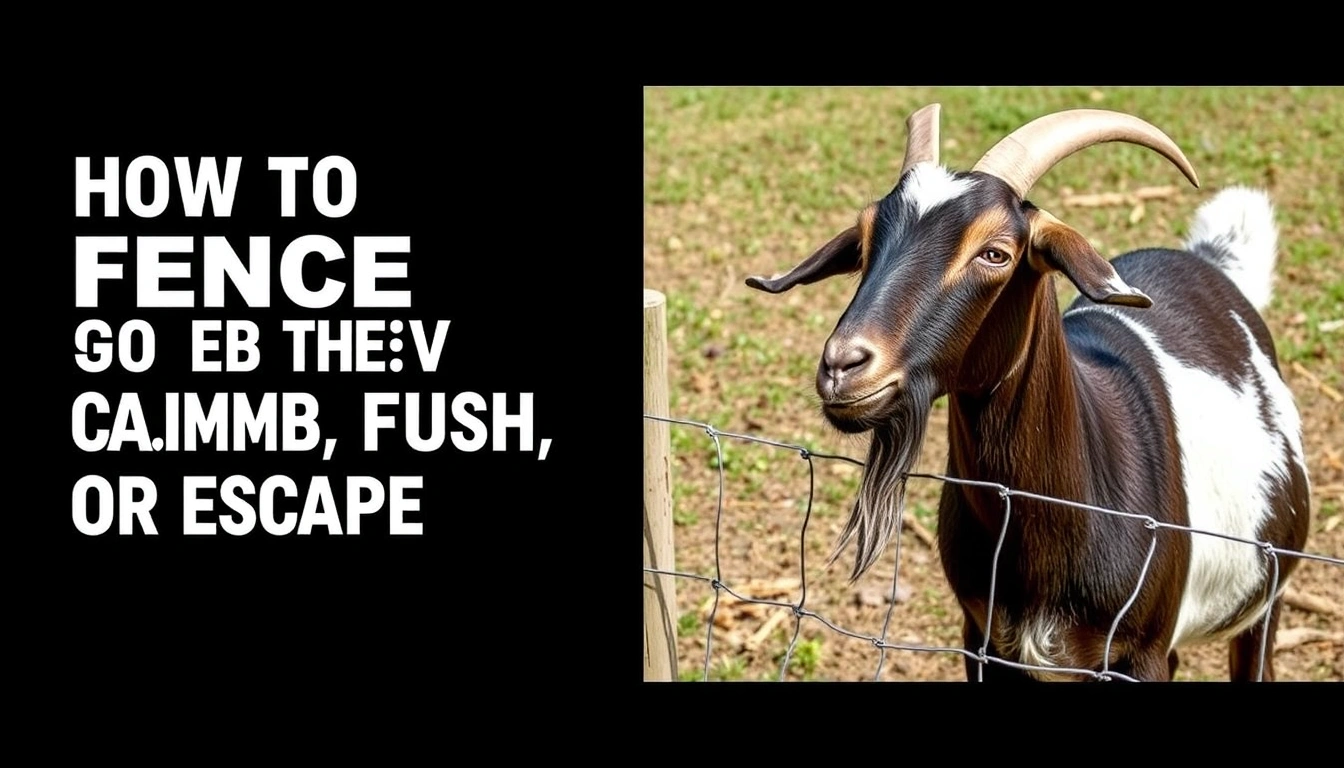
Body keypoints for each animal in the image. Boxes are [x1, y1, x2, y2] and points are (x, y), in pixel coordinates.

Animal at [745, 104, 1311, 681]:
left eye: (996, 253)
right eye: (862, 241)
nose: (843, 366)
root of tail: (1209, 263)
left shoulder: (1141, 653)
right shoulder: (983, 638)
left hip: (1264, 599)